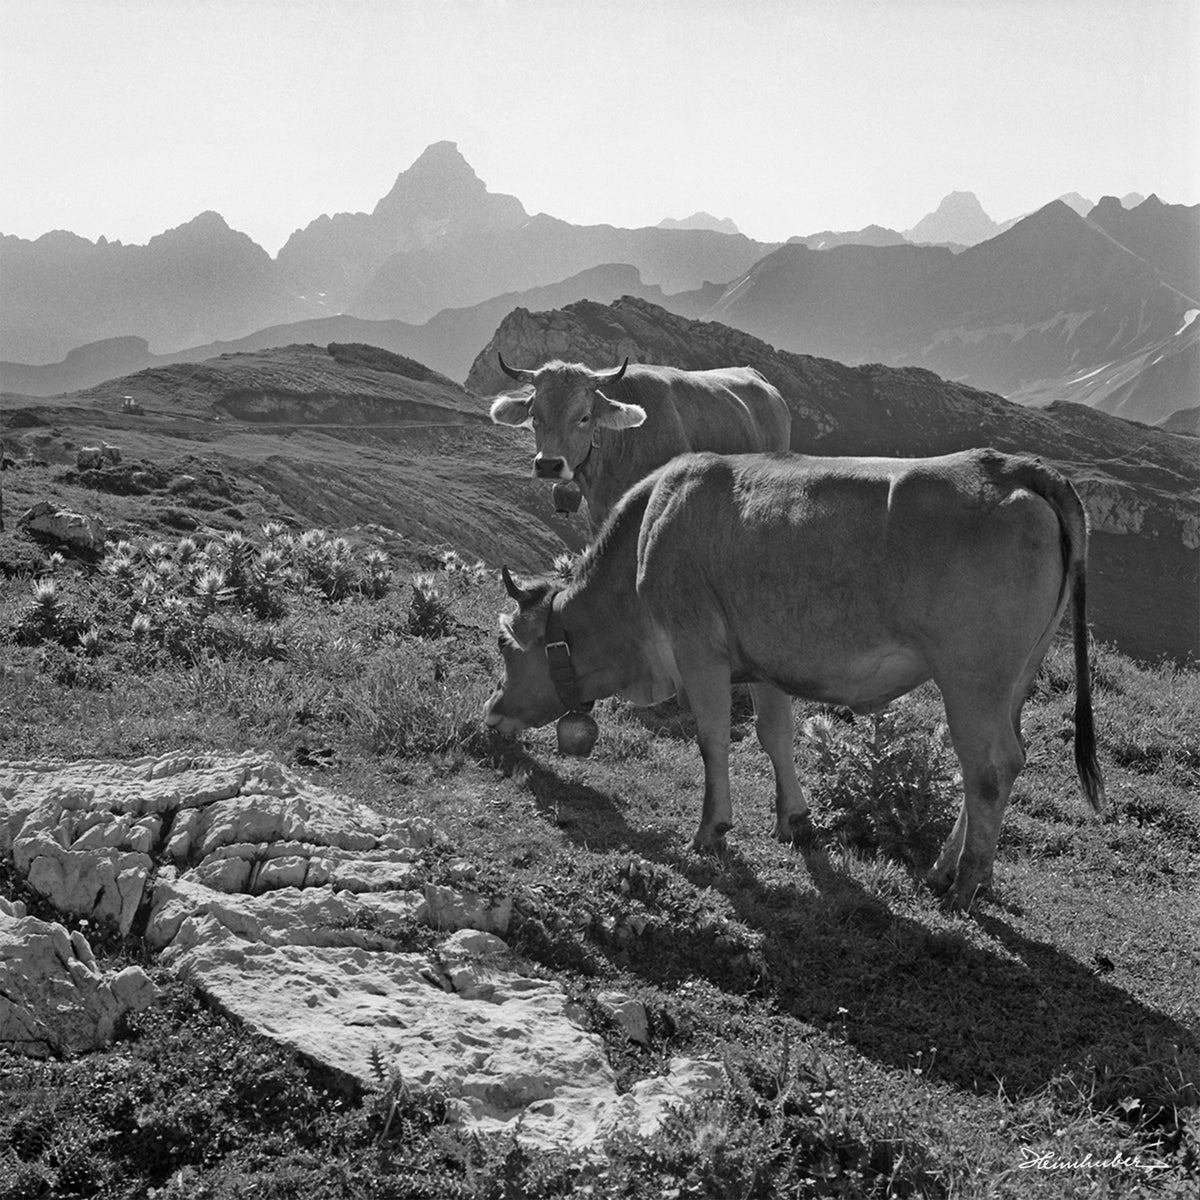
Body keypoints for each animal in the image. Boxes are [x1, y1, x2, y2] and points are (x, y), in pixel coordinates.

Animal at [484, 448, 1105, 912]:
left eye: (503, 644)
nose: (489, 715)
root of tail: (1009, 465)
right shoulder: (762, 660)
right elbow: (774, 734)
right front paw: (794, 820)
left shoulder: (698, 651)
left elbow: (712, 739)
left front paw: (710, 831)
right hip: (1014, 681)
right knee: (998, 763)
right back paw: (943, 871)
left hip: (973, 678)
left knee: (989, 769)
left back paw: (963, 887)